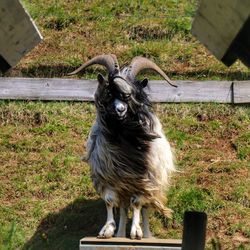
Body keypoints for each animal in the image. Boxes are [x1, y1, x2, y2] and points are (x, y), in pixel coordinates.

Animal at [69, 54, 176, 238]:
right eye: (110, 92)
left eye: (130, 95)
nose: (120, 109)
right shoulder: (107, 176)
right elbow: (110, 201)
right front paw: (108, 229)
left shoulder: (144, 180)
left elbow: (137, 203)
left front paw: (136, 231)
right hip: (124, 188)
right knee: (125, 208)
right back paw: (119, 234)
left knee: (144, 208)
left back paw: (146, 233)